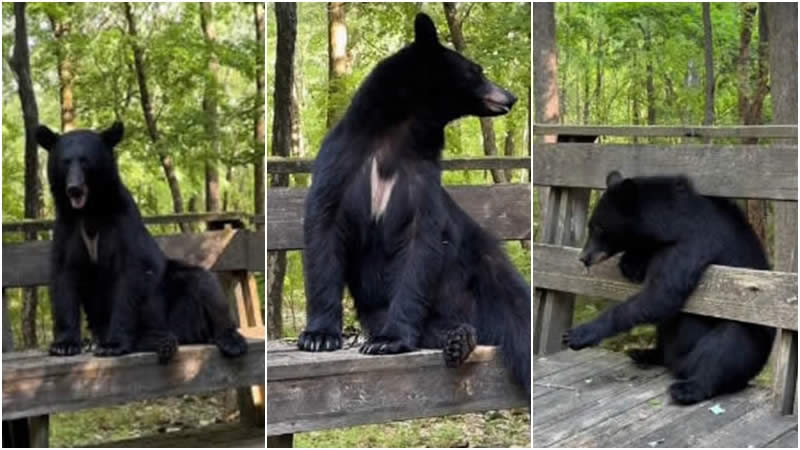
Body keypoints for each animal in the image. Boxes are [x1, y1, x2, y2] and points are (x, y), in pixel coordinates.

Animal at [36, 122, 247, 362]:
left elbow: (129, 274)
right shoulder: (68, 227)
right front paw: (64, 345)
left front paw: (113, 345)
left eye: (85, 161)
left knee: (205, 285)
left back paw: (228, 340)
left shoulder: (122, 222)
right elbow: (64, 275)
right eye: (65, 162)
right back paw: (157, 342)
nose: (74, 188)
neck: (90, 211)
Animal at [294, 12, 532, 396]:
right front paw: (318, 335)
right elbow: (323, 231)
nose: (511, 96)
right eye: (477, 70)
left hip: (490, 275)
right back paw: (458, 339)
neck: (398, 133)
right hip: (379, 307)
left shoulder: (421, 178)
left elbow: (420, 246)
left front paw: (389, 340)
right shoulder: (340, 166)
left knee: (519, 320)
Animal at [564, 171, 776, 406]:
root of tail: (679, 364)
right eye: (591, 226)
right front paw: (631, 262)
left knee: (727, 346)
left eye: (599, 228)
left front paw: (580, 333)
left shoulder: (692, 242)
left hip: (749, 342)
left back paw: (688, 388)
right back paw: (645, 353)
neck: (670, 221)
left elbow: (662, 294)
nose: (583, 257)